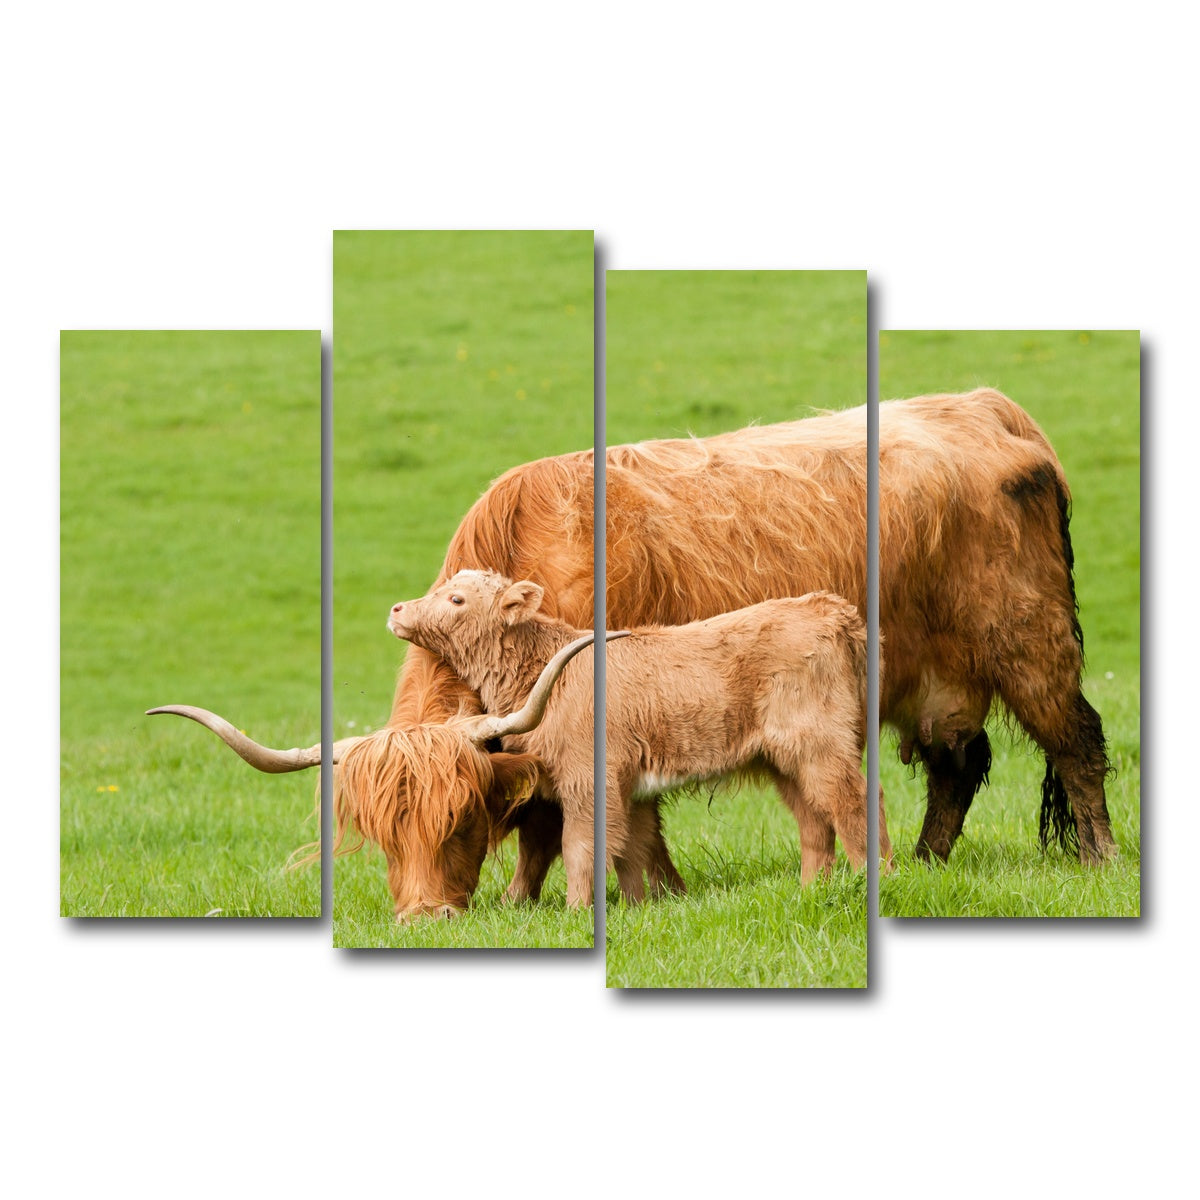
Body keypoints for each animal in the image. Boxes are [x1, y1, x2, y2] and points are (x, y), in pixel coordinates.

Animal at [387, 570, 888, 907]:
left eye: (456, 598)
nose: (396, 609)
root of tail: (830, 607)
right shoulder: (632, 788)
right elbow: (633, 847)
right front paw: (638, 907)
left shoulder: (589, 781)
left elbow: (582, 847)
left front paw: (576, 912)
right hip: (786, 759)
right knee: (813, 818)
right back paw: (812, 890)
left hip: (821, 744)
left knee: (856, 800)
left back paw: (877, 875)